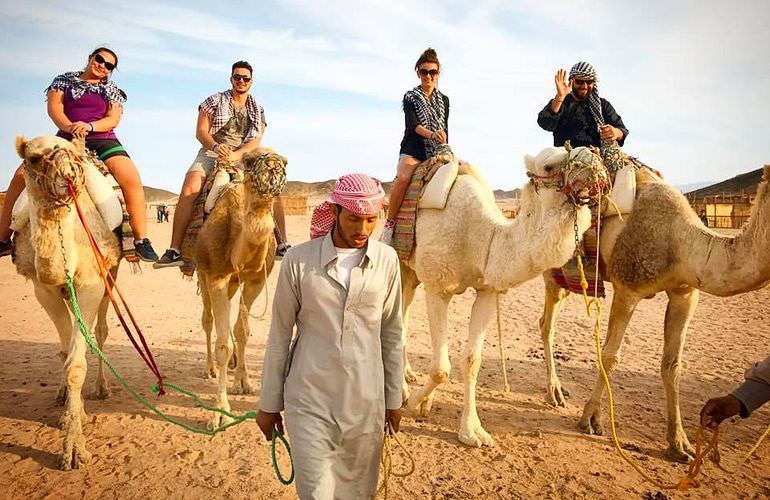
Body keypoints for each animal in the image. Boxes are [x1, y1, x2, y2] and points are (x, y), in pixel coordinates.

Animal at [12, 134, 121, 468]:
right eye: (33, 158)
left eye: (74, 155)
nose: (69, 177)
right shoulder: (43, 289)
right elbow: (65, 354)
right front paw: (71, 412)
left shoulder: (92, 285)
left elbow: (76, 362)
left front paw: (74, 450)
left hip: (110, 276)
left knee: (100, 333)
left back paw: (101, 388)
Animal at [194, 149, 286, 430]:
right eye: (249, 160)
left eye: (285, 161)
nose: (273, 165)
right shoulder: (217, 277)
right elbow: (223, 344)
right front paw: (220, 412)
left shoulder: (255, 280)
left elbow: (243, 331)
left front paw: (243, 383)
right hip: (202, 272)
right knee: (208, 320)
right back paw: (209, 369)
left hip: (235, 283)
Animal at [402, 145, 608, 446]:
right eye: (549, 165)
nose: (593, 159)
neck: (485, 239)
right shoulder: (438, 287)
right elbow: (441, 368)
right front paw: (412, 403)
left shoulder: (487, 291)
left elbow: (471, 360)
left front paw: (472, 432)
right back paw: (403, 388)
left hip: (412, 273)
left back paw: (408, 376)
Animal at [536, 164, 768, 460]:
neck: (681, 243)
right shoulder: (628, 289)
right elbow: (610, 357)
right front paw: (590, 419)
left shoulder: (685, 294)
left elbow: (672, 365)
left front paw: (680, 444)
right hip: (551, 268)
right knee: (547, 324)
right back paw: (553, 393)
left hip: (571, 278)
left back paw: (560, 389)